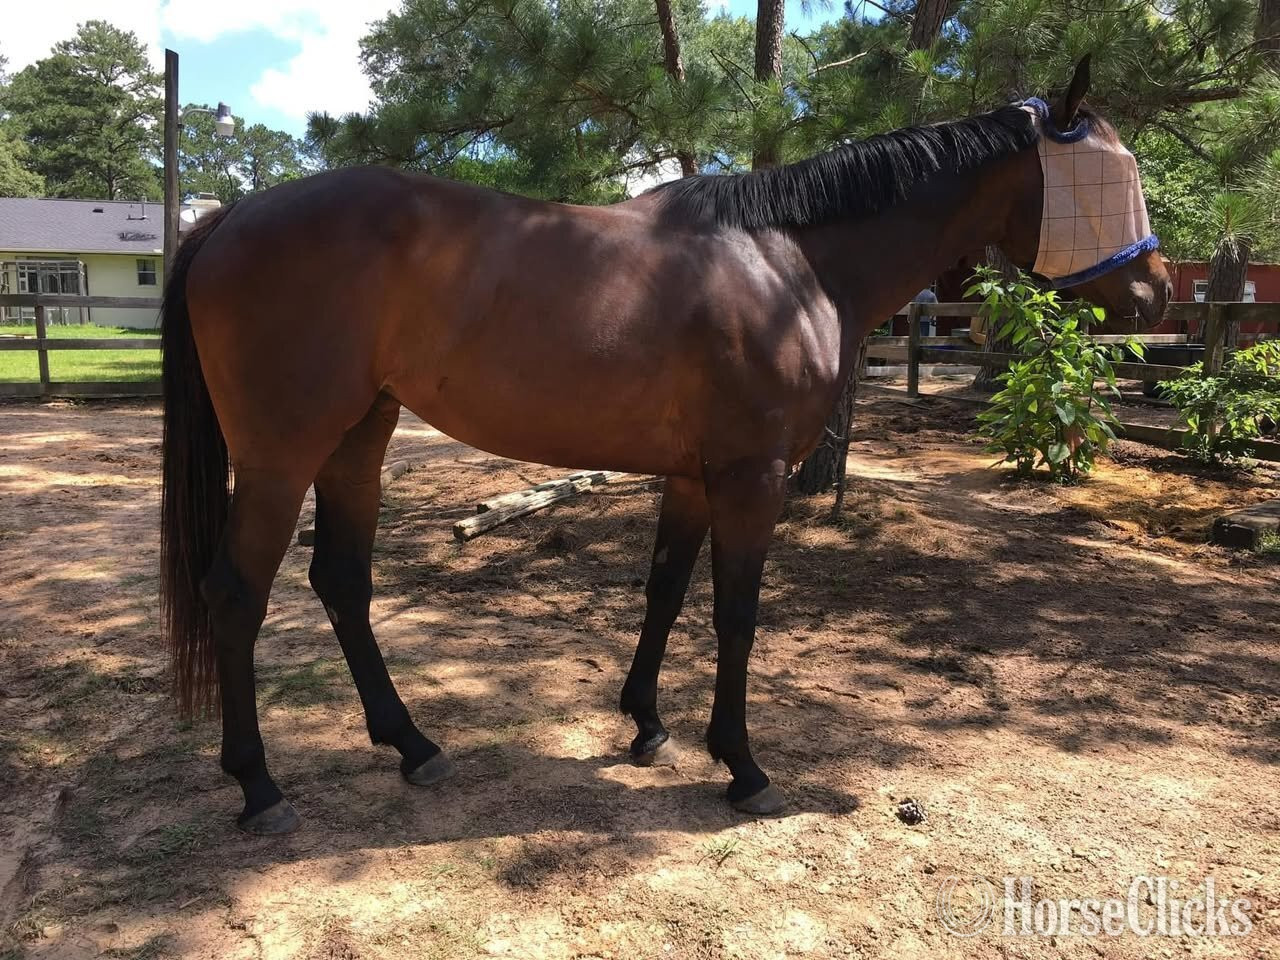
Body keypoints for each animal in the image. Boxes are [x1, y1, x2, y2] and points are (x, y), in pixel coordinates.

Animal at [160, 56, 1171, 834]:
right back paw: (260, 789)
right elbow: (736, 615)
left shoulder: (692, 478)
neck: (791, 261)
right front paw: (743, 767)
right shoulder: (752, 479)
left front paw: (646, 725)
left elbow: (665, 591)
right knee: (238, 594)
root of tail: (227, 218)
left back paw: (413, 746)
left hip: (356, 439)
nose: (1157, 290)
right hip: (281, 455)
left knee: (341, 581)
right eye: (1117, 174)